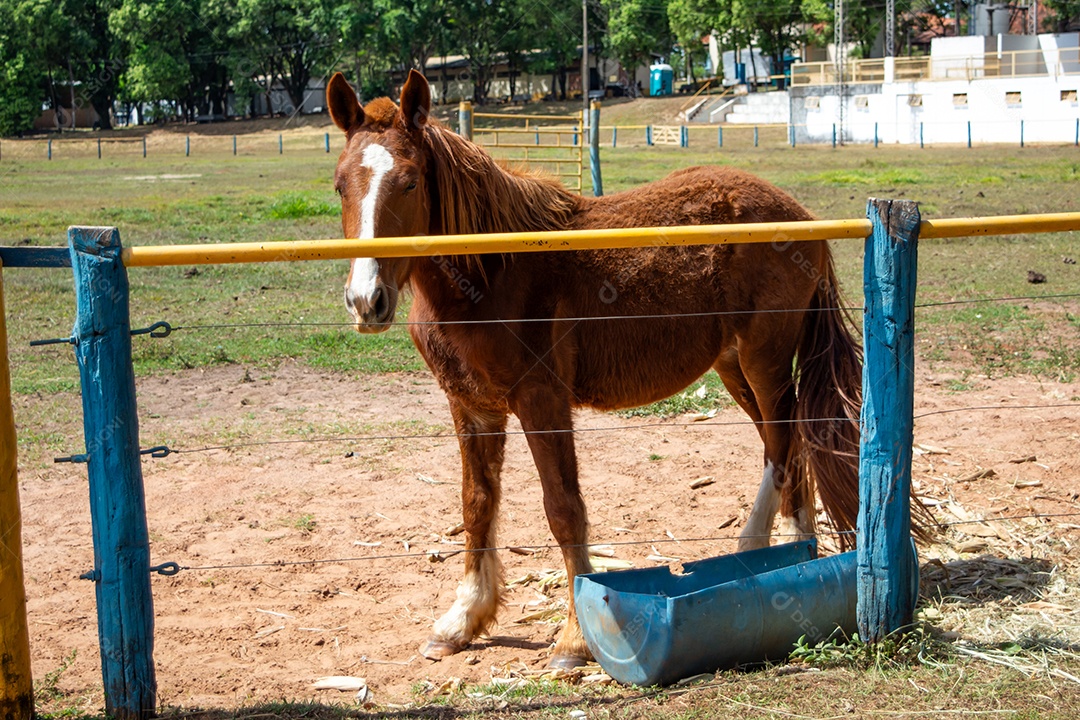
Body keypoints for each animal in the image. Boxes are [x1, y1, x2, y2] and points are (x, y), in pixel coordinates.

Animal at [324, 71, 864, 669]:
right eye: (340, 185)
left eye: (411, 183)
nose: (366, 300)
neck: (490, 272)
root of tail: (802, 214)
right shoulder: (471, 407)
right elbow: (476, 503)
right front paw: (463, 619)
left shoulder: (542, 400)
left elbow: (563, 508)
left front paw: (574, 637)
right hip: (732, 366)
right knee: (784, 441)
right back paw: (776, 549)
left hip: (764, 359)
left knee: (786, 443)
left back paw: (784, 548)